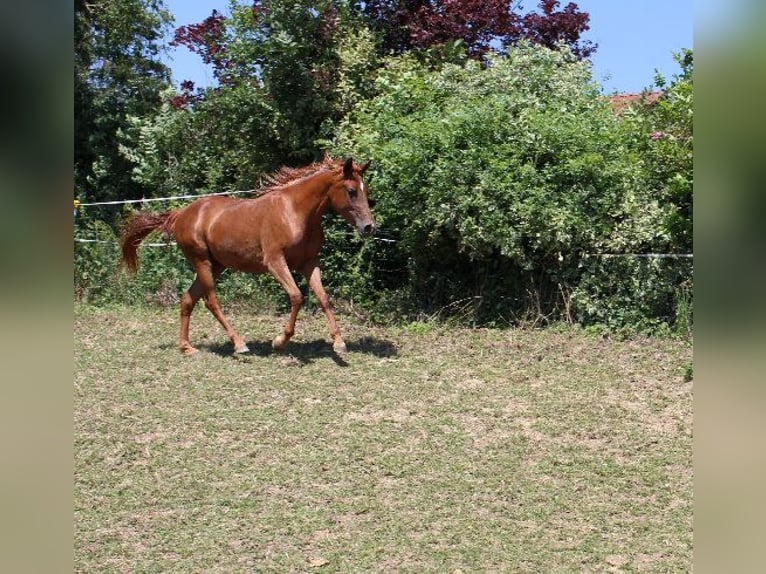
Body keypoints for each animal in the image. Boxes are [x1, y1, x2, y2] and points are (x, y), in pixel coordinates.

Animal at [118, 158, 378, 356]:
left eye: (366, 190)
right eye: (352, 191)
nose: (369, 227)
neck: (295, 212)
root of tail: (181, 213)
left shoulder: (309, 263)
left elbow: (323, 297)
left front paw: (339, 342)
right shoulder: (275, 263)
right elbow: (296, 296)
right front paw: (279, 342)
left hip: (217, 265)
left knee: (187, 299)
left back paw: (187, 347)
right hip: (202, 262)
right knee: (210, 301)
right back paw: (239, 343)